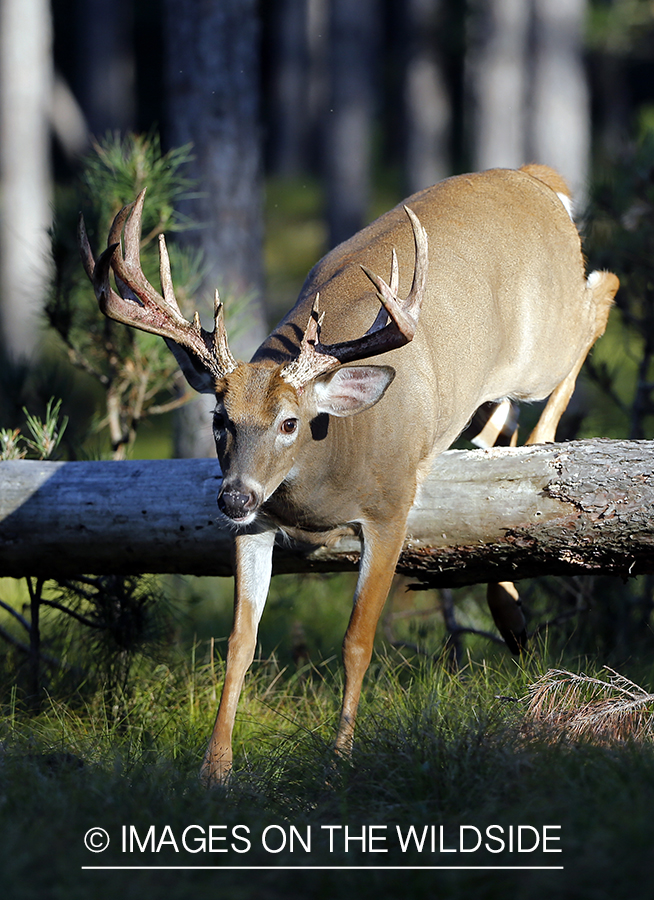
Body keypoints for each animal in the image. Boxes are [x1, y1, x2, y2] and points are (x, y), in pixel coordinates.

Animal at [79, 165, 624, 784]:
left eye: (290, 422)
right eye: (220, 419)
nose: (233, 497)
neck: (328, 471)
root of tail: (538, 179)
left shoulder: (391, 507)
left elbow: (357, 641)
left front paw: (340, 758)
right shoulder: (256, 527)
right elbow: (240, 641)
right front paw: (214, 767)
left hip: (542, 344)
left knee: (601, 293)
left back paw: (540, 442)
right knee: (500, 429)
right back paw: (509, 610)